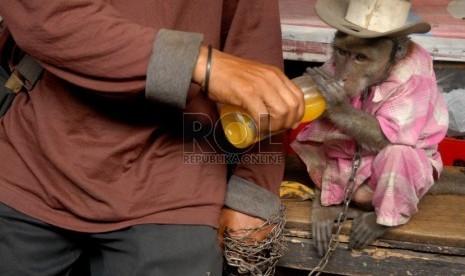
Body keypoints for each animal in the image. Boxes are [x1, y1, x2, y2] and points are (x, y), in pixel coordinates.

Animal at [292, 31, 462, 258]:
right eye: (342, 52)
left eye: (360, 58)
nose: (343, 77)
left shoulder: (414, 78)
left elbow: (389, 135)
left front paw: (336, 101)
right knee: (311, 142)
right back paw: (326, 203)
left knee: (399, 152)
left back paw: (379, 221)